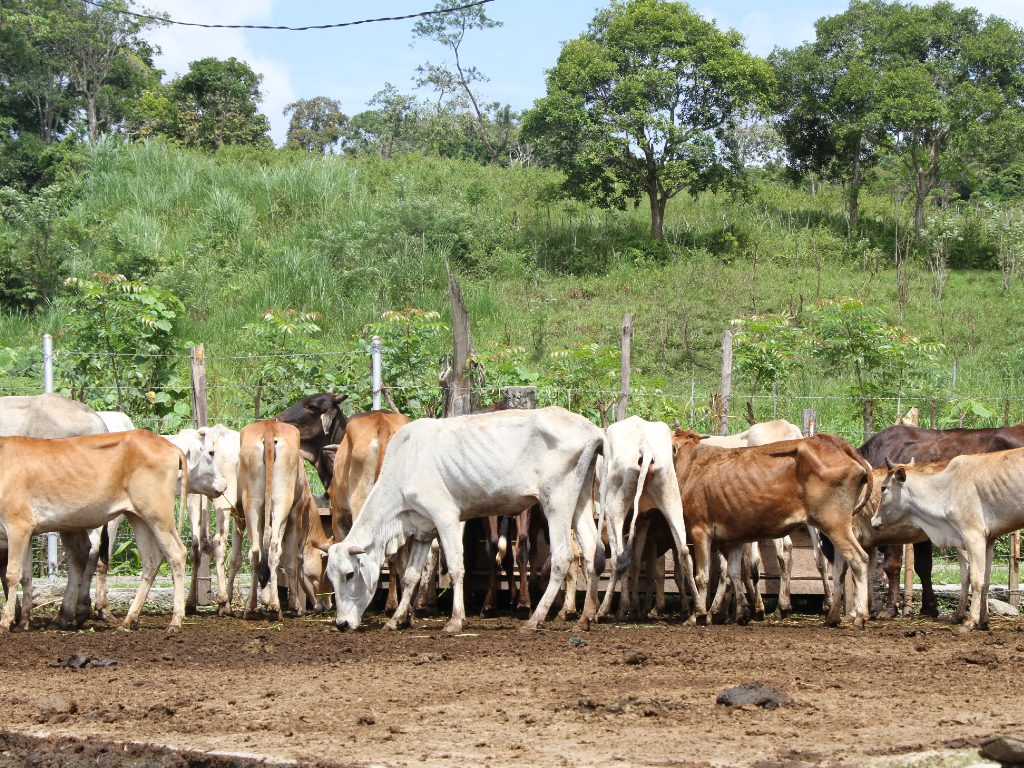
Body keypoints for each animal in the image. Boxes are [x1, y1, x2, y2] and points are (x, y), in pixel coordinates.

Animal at [325, 405, 606, 634]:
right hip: (579, 498)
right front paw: (396, 620)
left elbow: (456, 567)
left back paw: (534, 620)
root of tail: (592, 430)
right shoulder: (424, 529)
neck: (404, 466)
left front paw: (455, 620)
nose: (342, 624)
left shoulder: (446, 516)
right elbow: (412, 574)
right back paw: (586, 618)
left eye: (349, 574)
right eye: (331, 576)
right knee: (593, 551)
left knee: (563, 557)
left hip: (556, 500)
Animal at [598, 417, 700, 622]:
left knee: (618, 556)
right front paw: (635, 608)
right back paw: (699, 610)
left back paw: (605, 610)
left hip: (614, 508)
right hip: (671, 499)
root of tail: (645, 448)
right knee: (684, 552)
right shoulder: (643, 521)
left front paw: (626, 608)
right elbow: (637, 562)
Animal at [671, 430, 872, 626]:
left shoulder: (700, 529)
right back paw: (832, 617)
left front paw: (697, 615)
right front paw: (742, 613)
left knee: (858, 559)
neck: (692, 465)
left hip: (833, 523)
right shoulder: (734, 538)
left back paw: (859, 616)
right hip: (836, 526)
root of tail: (834, 441)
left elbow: (702, 576)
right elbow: (734, 572)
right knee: (839, 567)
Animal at [868, 450, 1024, 630]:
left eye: (883, 487)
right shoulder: (987, 540)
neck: (946, 488)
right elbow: (983, 580)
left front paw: (970, 621)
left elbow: (975, 579)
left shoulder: (973, 536)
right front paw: (982, 621)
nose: (873, 521)